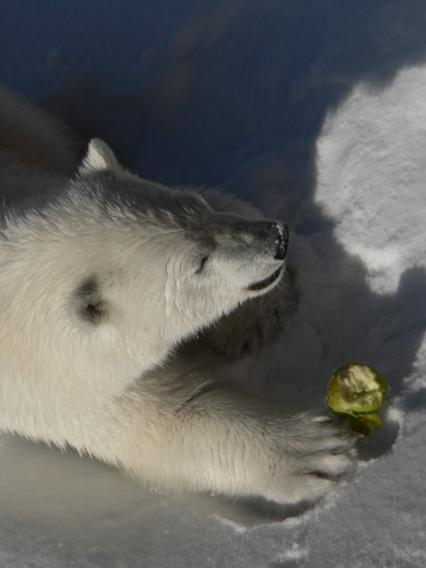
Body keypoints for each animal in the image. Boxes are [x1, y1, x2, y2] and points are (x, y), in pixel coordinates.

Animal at [0, 89, 354, 506]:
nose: (278, 240)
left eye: (197, 207)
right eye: (198, 262)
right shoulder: (48, 386)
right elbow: (156, 419)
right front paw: (312, 449)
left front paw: (256, 319)